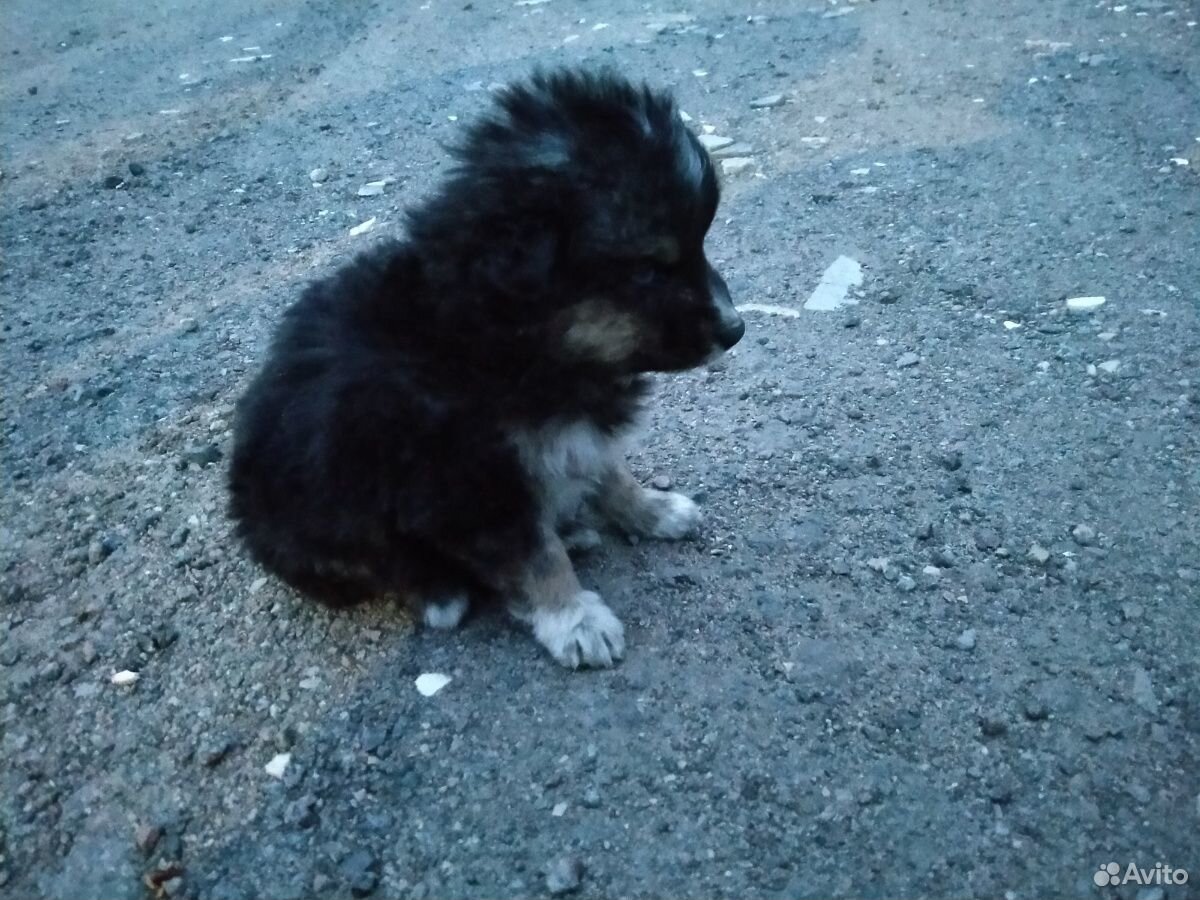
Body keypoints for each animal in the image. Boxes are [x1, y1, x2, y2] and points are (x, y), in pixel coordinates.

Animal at [226, 66, 739, 667]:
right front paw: (575, 619)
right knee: (382, 561)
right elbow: (535, 554)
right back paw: (441, 591)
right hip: (315, 522)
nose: (736, 329)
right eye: (648, 272)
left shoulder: (571, 435)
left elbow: (608, 470)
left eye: (698, 246)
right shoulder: (472, 483)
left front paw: (652, 510)